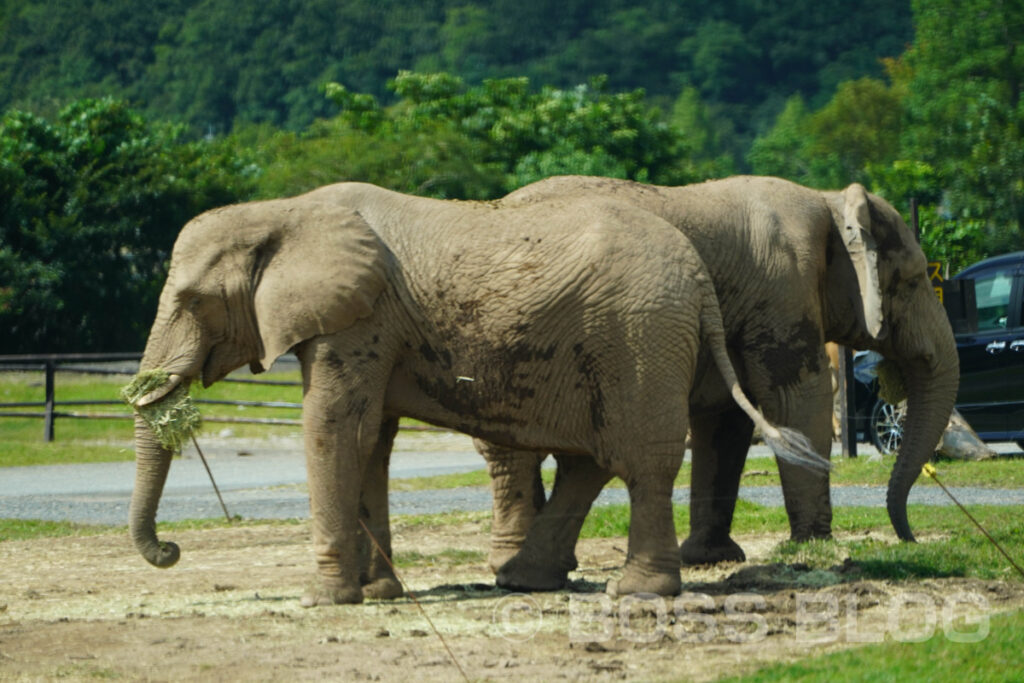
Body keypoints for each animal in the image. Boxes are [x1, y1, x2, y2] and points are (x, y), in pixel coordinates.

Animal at [125, 180, 823, 602]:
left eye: (192, 301)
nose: (170, 551)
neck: (283, 210)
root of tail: (699, 277)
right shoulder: (363, 328)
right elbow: (371, 438)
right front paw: (379, 595)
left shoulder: (360, 319)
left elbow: (335, 429)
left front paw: (324, 599)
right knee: (592, 458)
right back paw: (523, 581)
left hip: (639, 334)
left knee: (641, 460)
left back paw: (635, 593)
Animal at [479, 174, 958, 573]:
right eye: (911, 281)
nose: (910, 539)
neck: (828, 201)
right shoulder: (784, 290)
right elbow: (796, 399)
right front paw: (814, 545)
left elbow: (725, 420)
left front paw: (712, 558)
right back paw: (513, 561)